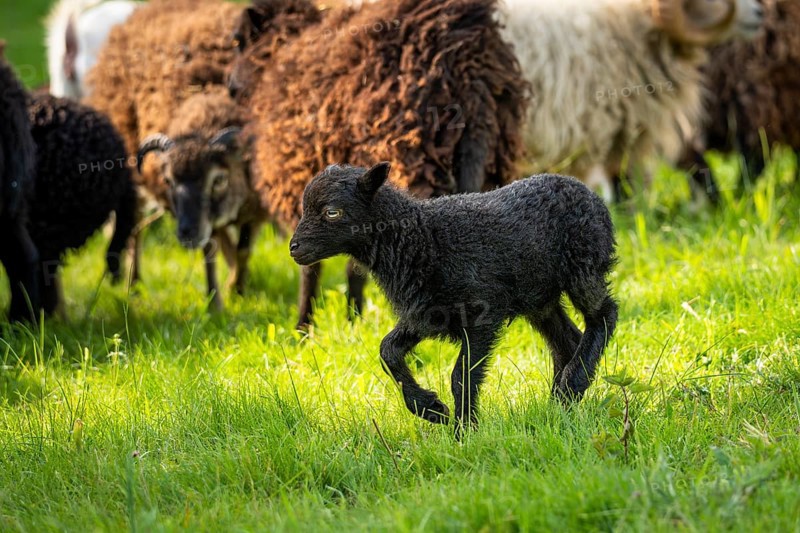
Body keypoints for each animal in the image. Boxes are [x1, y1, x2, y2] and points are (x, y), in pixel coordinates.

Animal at [232, 0, 528, 327]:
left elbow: (314, 265)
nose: (230, 88)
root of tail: (469, 70)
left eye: (238, 41)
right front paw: (352, 319)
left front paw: (307, 325)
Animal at [290, 163, 618, 431]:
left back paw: (572, 384)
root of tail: (586, 192)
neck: (421, 239)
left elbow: (462, 376)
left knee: (604, 314)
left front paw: (464, 432)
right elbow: (387, 351)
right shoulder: (425, 311)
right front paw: (431, 409)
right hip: (539, 296)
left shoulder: (481, 315)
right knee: (567, 340)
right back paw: (560, 403)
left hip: (583, 266)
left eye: (332, 211)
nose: (294, 248)